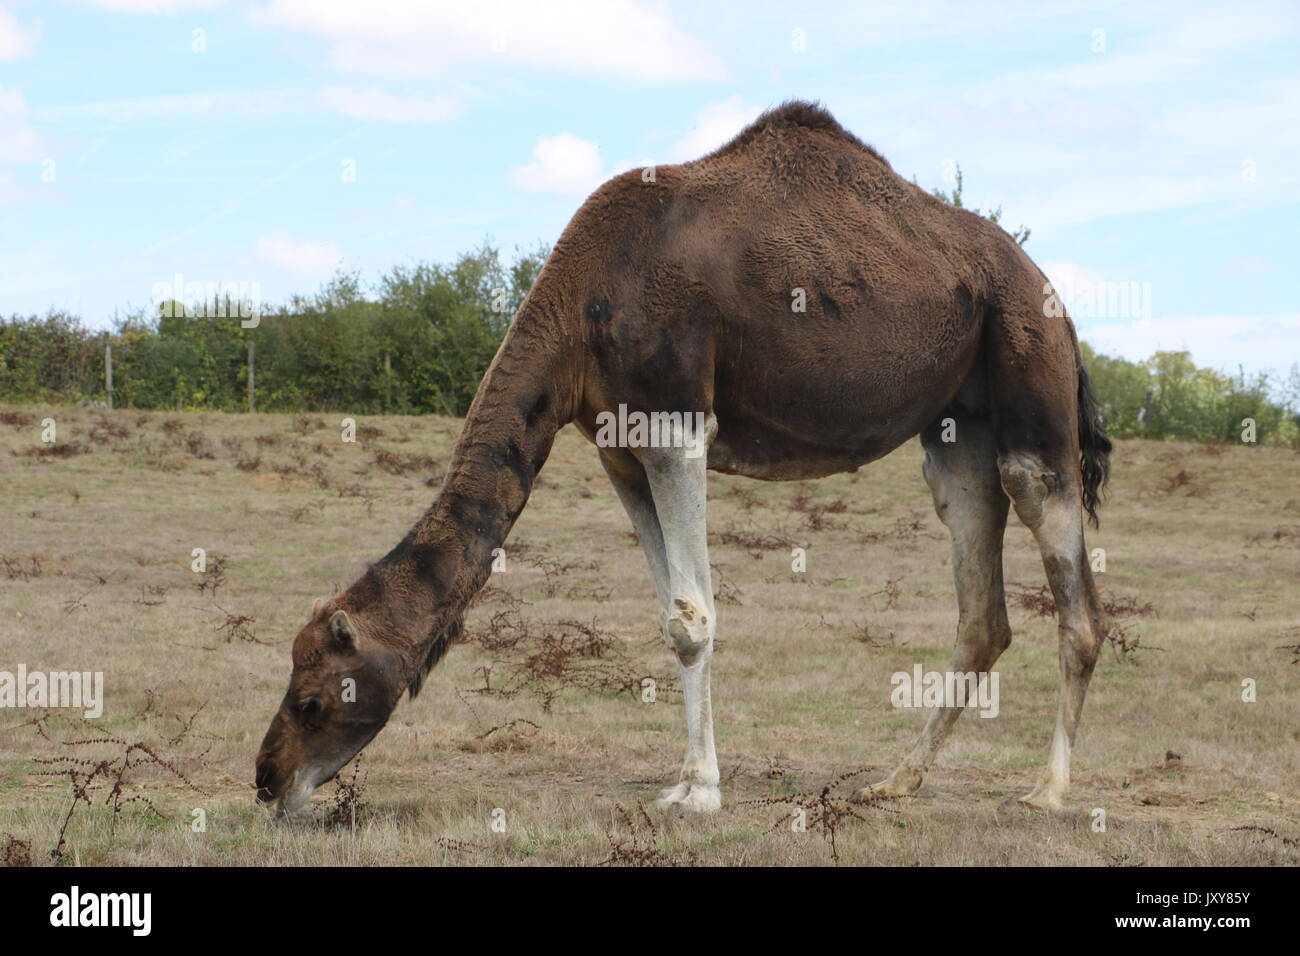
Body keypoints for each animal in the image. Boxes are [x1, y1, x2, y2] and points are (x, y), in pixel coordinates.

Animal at [256, 102, 1118, 816]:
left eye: (313, 699)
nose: (267, 779)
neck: (584, 301)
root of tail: (1057, 299)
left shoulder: (676, 421)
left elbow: (692, 617)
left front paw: (699, 793)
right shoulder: (620, 447)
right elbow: (668, 613)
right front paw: (687, 778)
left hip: (1030, 381)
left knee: (1070, 588)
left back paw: (1047, 790)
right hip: (956, 430)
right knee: (981, 605)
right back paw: (894, 781)